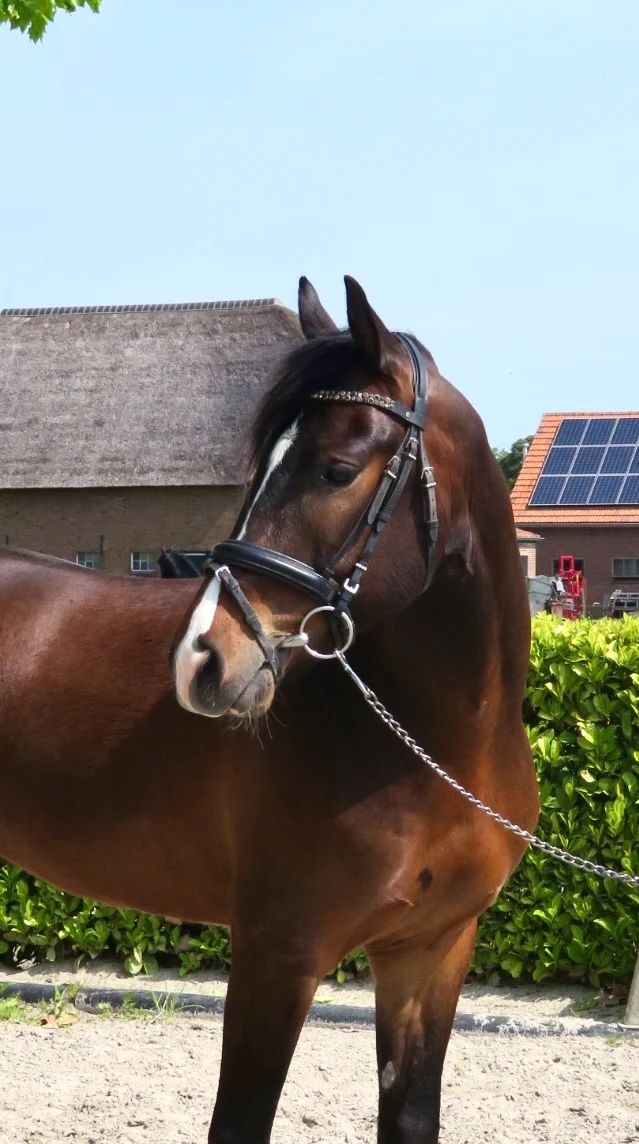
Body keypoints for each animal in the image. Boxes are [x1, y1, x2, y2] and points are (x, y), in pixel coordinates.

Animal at [0, 276, 538, 1143]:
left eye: (336, 469)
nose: (202, 659)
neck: (443, 746)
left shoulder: (431, 951)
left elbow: (409, 1115)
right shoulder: (277, 956)